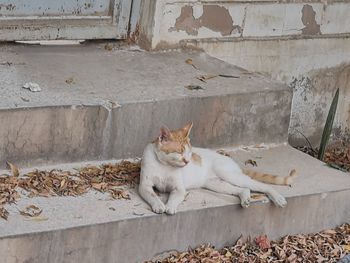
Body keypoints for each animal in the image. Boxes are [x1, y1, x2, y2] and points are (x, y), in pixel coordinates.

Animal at [138, 122, 296, 216]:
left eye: (189, 153)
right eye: (179, 153)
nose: (188, 161)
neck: (163, 165)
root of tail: (230, 160)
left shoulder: (179, 189)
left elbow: (174, 197)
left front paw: (170, 207)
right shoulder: (144, 186)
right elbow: (152, 196)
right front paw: (159, 205)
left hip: (229, 175)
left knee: (262, 186)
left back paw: (278, 198)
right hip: (217, 184)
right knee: (243, 189)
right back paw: (245, 199)